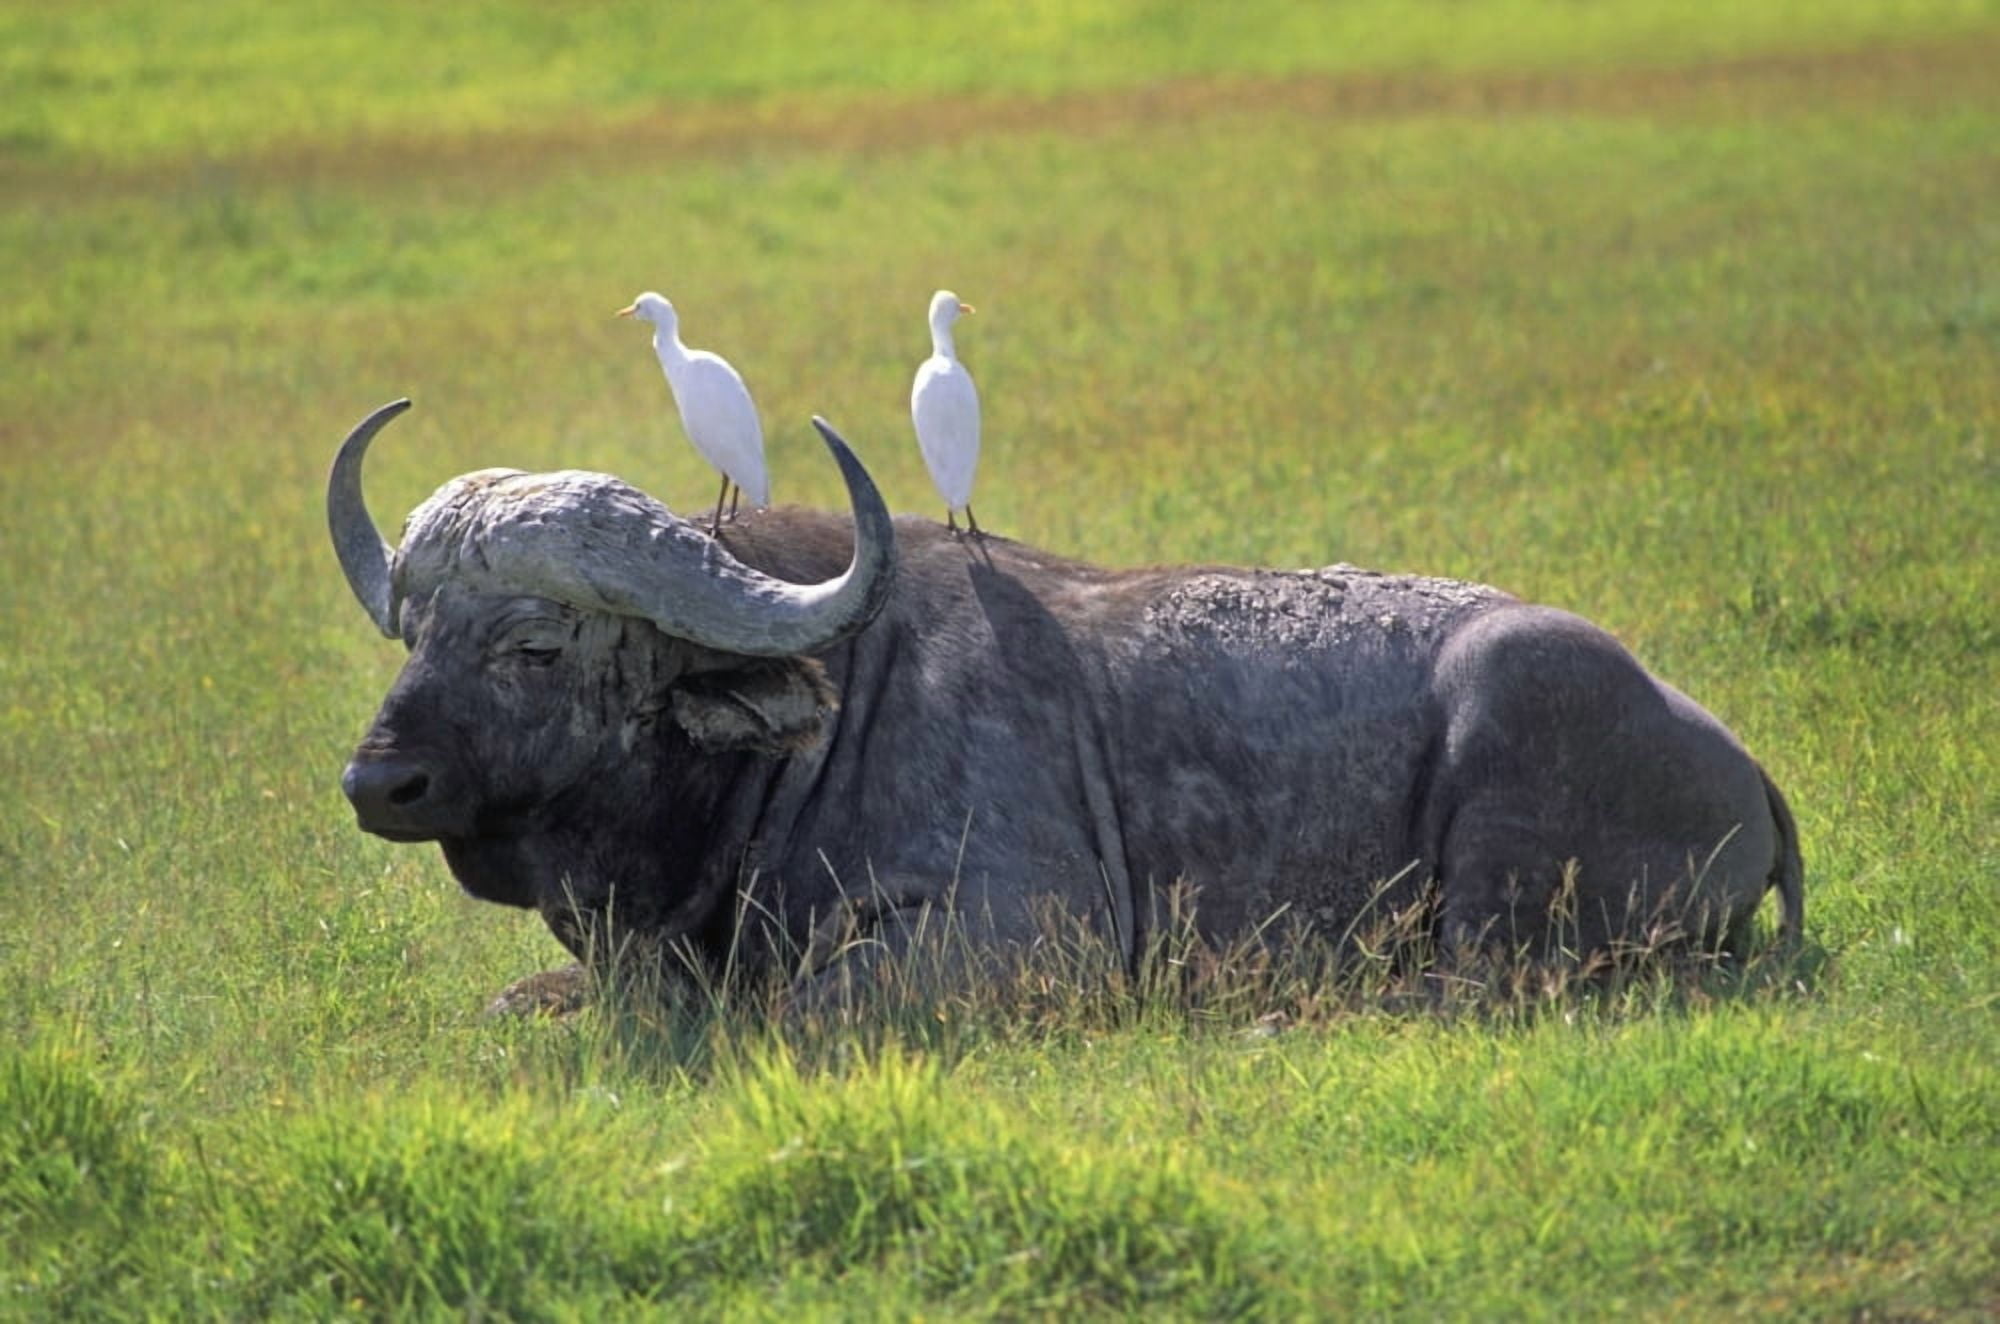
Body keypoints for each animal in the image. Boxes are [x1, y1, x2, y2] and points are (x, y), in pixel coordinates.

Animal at [330, 400, 1801, 1006]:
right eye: (417, 632)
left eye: (534, 645)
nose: (378, 780)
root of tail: (1738, 764)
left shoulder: (1021, 939)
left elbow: (786, 1015)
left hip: (1503, 811)